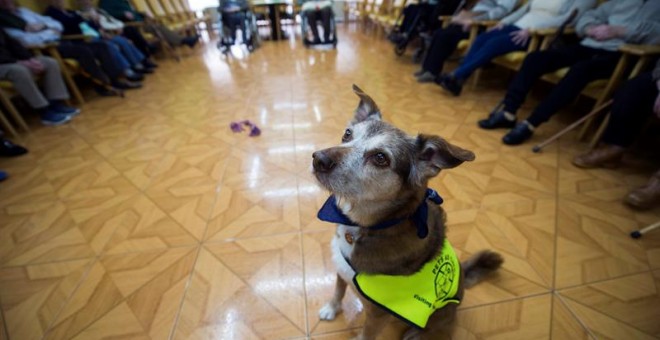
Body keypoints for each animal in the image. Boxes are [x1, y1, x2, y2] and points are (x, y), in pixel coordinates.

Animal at [312, 85, 502, 340]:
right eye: (347, 134)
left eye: (380, 158)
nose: (318, 159)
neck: (373, 225)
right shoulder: (341, 271)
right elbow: (338, 291)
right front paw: (332, 308)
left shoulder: (377, 314)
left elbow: (367, 334)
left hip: (440, 317)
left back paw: (414, 334)